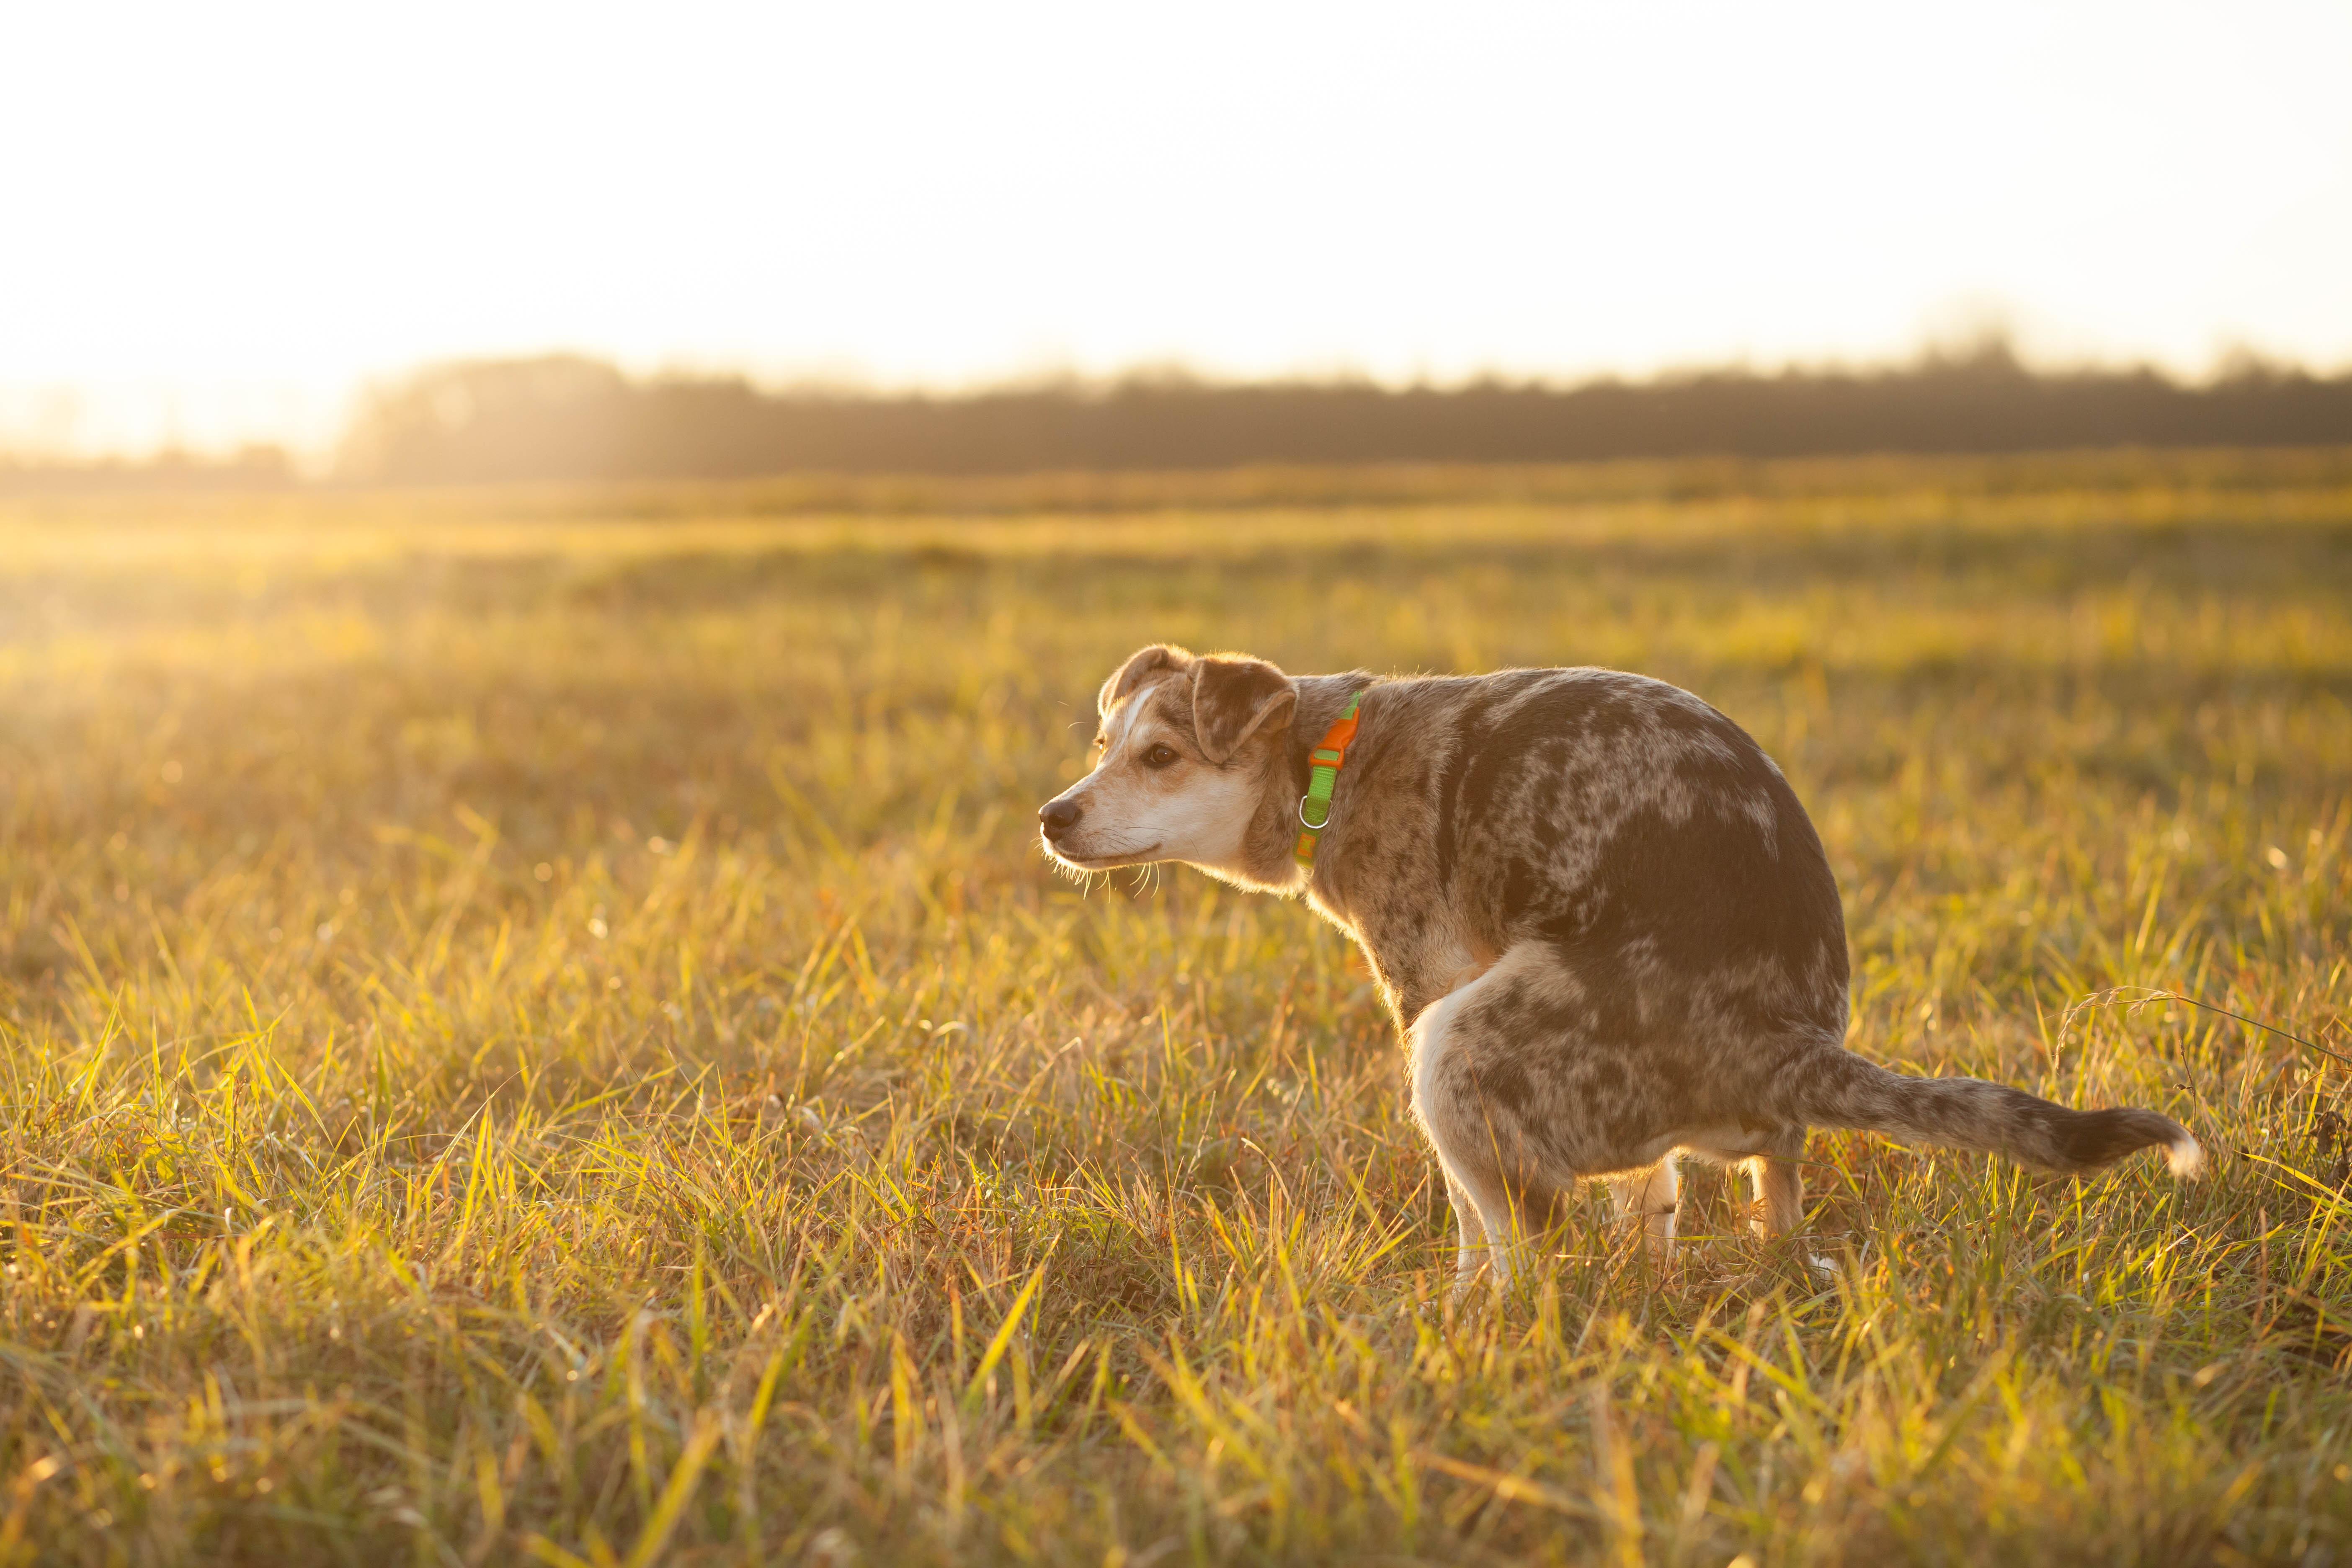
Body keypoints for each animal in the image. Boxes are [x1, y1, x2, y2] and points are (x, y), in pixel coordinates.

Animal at [1035, 644, 2201, 1297]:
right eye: (1099, 745)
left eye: (1159, 757)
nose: (1052, 816)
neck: (1330, 758)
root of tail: (1787, 1042)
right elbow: (1653, 1199)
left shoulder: (1425, 986)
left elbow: (1471, 1223)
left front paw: (1457, 1307)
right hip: (1726, 1137)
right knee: (1763, 1204)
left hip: (1457, 1045)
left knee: (1527, 1246)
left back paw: (1490, 1330)